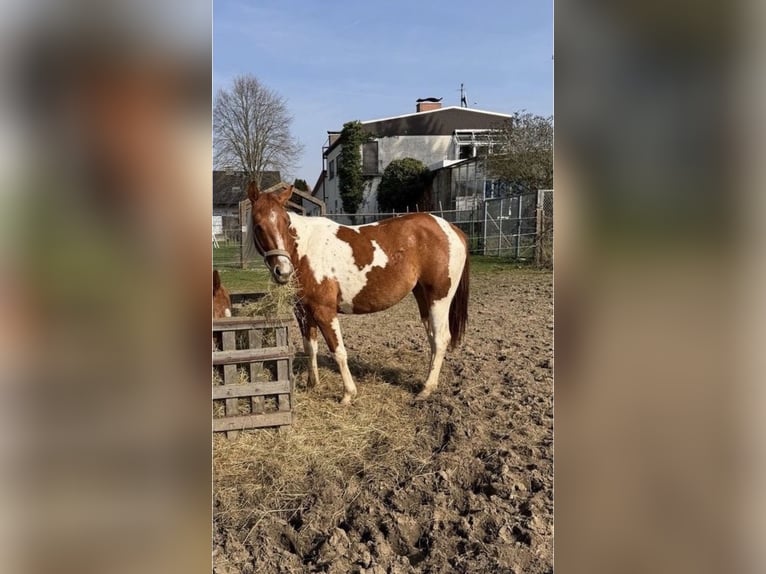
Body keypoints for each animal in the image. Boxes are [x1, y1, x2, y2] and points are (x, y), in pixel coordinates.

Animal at [246, 181, 469, 404]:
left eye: (286, 223)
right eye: (258, 226)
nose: (283, 271)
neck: (305, 251)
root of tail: (452, 229)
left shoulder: (324, 311)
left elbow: (338, 351)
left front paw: (348, 394)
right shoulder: (303, 312)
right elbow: (310, 347)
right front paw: (312, 384)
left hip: (439, 299)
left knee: (441, 339)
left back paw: (427, 388)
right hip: (423, 297)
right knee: (432, 338)